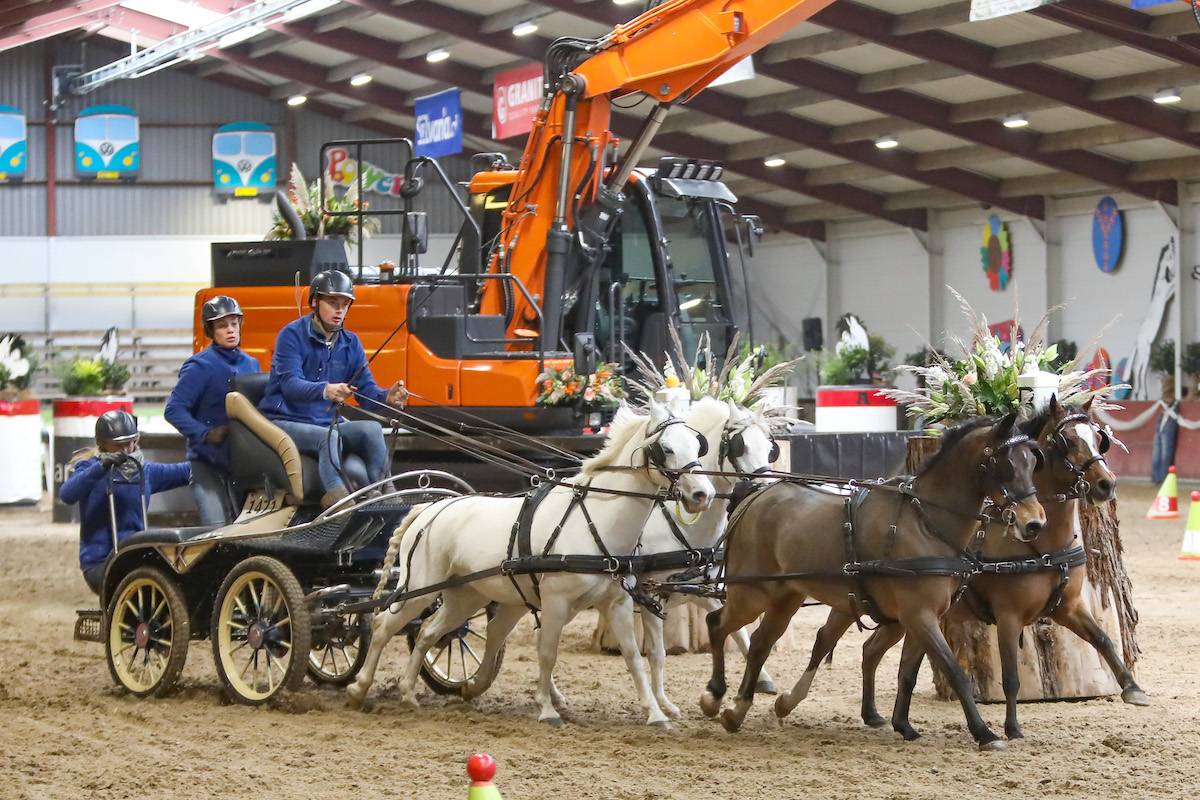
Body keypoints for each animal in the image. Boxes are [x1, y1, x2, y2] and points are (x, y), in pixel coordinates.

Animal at [348, 400, 710, 724]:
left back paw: (409, 692)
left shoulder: (617, 602)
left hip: (464, 596)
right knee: (384, 626)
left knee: (427, 632)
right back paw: (359, 687)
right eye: (666, 448)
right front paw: (548, 710)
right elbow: (548, 652)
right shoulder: (555, 600)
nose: (702, 494)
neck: (596, 519)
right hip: (420, 587)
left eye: (697, 444)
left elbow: (634, 656)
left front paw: (655, 713)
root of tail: (432, 508)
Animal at [705, 412, 1046, 753]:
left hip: (784, 597)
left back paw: (737, 711)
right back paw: (714, 696)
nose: (1035, 523)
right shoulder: (918, 615)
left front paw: (904, 726)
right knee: (718, 625)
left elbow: (907, 672)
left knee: (760, 642)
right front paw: (984, 733)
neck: (925, 523)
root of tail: (756, 496)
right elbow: (954, 671)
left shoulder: (924, 616)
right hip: (751, 593)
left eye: (1032, 462)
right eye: (1006, 462)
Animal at [782, 398, 1147, 743]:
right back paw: (790, 700)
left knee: (871, 651)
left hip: (900, 617)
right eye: (1066, 441)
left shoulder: (1067, 607)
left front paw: (1133, 689)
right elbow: (1011, 678)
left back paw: (875, 716)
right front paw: (1012, 729)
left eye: (1099, 439)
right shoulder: (1009, 615)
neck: (1041, 544)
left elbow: (1102, 639)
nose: (1106, 484)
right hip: (853, 605)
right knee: (824, 640)